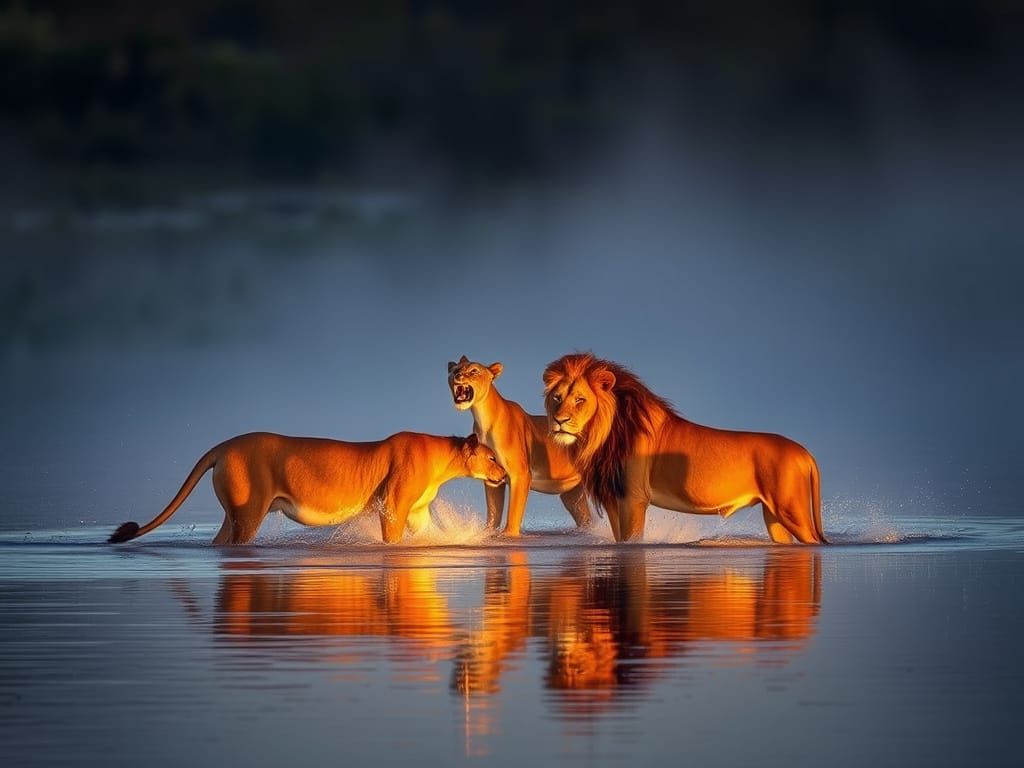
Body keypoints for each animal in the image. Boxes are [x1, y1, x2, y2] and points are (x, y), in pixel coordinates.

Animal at [108, 431, 507, 545]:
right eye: (491, 457)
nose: (504, 474)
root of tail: (223, 446)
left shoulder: (418, 514)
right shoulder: (392, 507)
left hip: (233, 517)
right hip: (248, 514)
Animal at [448, 355, 590, 535]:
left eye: (474, 371)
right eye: (454, 370)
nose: (457, 376)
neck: (483, 419)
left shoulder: (520, 473)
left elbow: (514, 512)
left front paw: (509, 535)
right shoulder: (492, 477)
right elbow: (493, 512)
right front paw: (489, 533)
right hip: (572, 494)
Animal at [542, 354, 826, 544]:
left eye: (580, 400)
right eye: (557, 397)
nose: (559, 421)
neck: (602, 435)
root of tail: (806, 454)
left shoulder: (634, 497)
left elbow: (632, 541)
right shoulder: (614, 497)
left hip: (792, 511)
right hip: (774, 518)